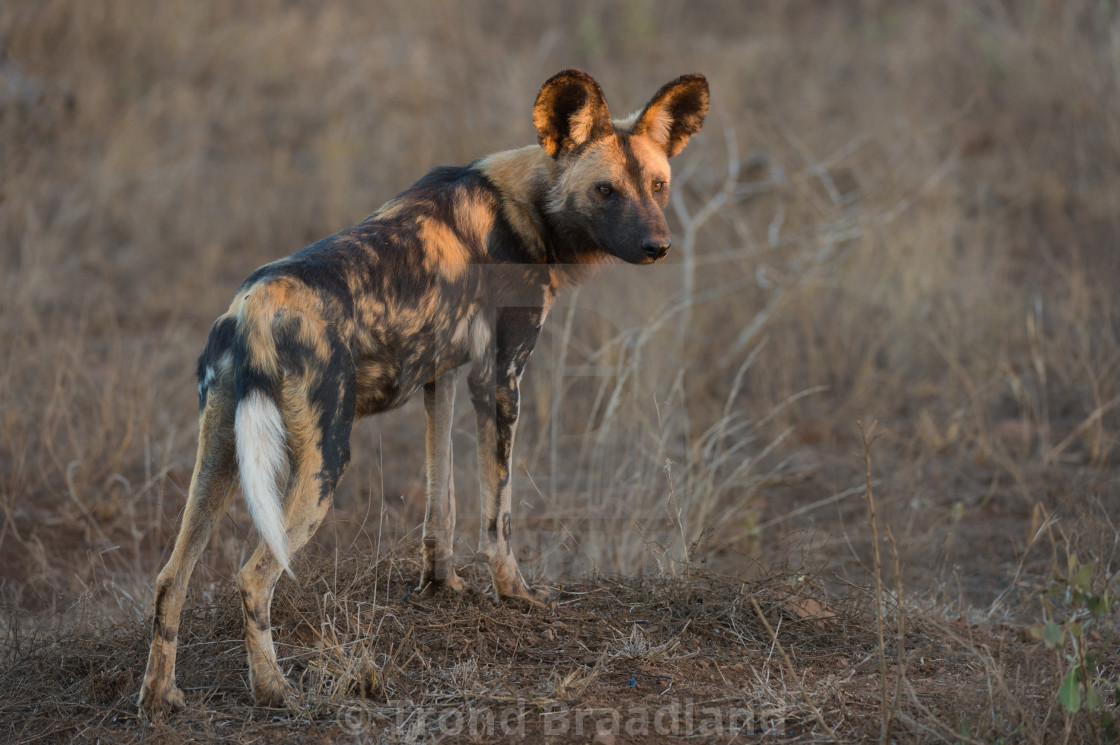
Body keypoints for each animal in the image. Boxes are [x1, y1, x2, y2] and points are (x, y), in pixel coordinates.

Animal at [135, 68, 703, 716]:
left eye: (657, 185)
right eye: (606, 190)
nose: (658, 246)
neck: (525, 206)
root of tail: (252, 308)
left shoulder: (443, 377)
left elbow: (442, 501)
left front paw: (442, 585)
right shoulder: (499, 377)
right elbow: (498, 516)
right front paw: (515, 595)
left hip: (221, 454)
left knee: (172, 576)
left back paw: (160, 697)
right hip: (326, 462)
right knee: (253, 578)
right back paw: (274, 690)